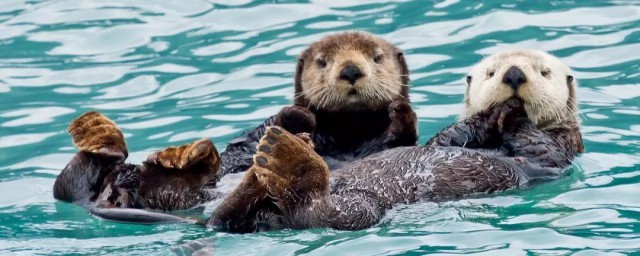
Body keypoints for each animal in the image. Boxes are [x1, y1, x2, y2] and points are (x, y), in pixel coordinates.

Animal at [208, 49, 584, 232]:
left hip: (361, 206)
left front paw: (513, 112)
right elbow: (447, 139)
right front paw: (493, 113)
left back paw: (286, 161)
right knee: (224, 218)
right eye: (492, 73)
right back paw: (258, 173)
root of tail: (267, 219)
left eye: (544, 72)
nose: (514, 76)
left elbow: (541, 147)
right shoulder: (450, 136)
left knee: (318, 213)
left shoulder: (562, 148)